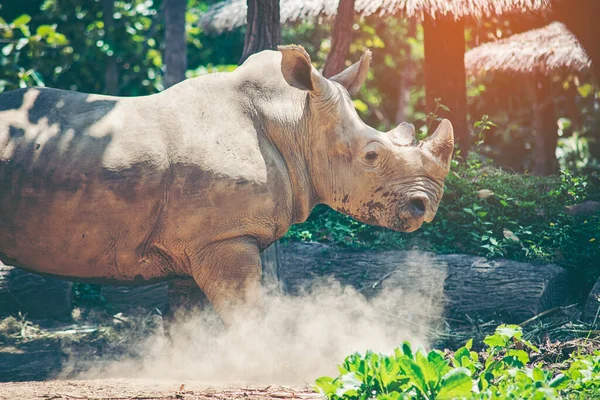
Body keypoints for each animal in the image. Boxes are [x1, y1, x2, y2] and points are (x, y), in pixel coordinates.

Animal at [0, 46, 450, 322]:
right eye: (372, 156)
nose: (426, 207)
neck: (296, 120)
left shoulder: (193, 243)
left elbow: (184, 322)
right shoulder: (225, 237)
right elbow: (246, 310)